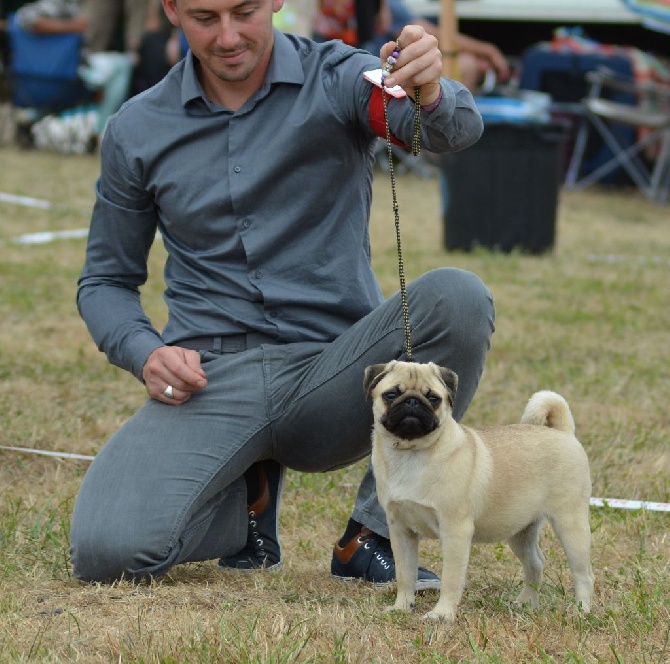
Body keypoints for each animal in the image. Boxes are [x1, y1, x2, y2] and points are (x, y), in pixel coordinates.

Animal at [364, 360, 596, 620]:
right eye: (391, 395)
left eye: (434, 398)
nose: (412, 402)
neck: (411, 453)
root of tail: (562, 432)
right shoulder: (401, 531)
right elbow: (405, 574)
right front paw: (402, 607)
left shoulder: (455, 531)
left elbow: (451, 578)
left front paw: (442, 615)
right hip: (521, 532)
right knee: (535, 563)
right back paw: (526, 602)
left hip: (571, 525)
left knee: (583, 574)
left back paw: (581, 611)